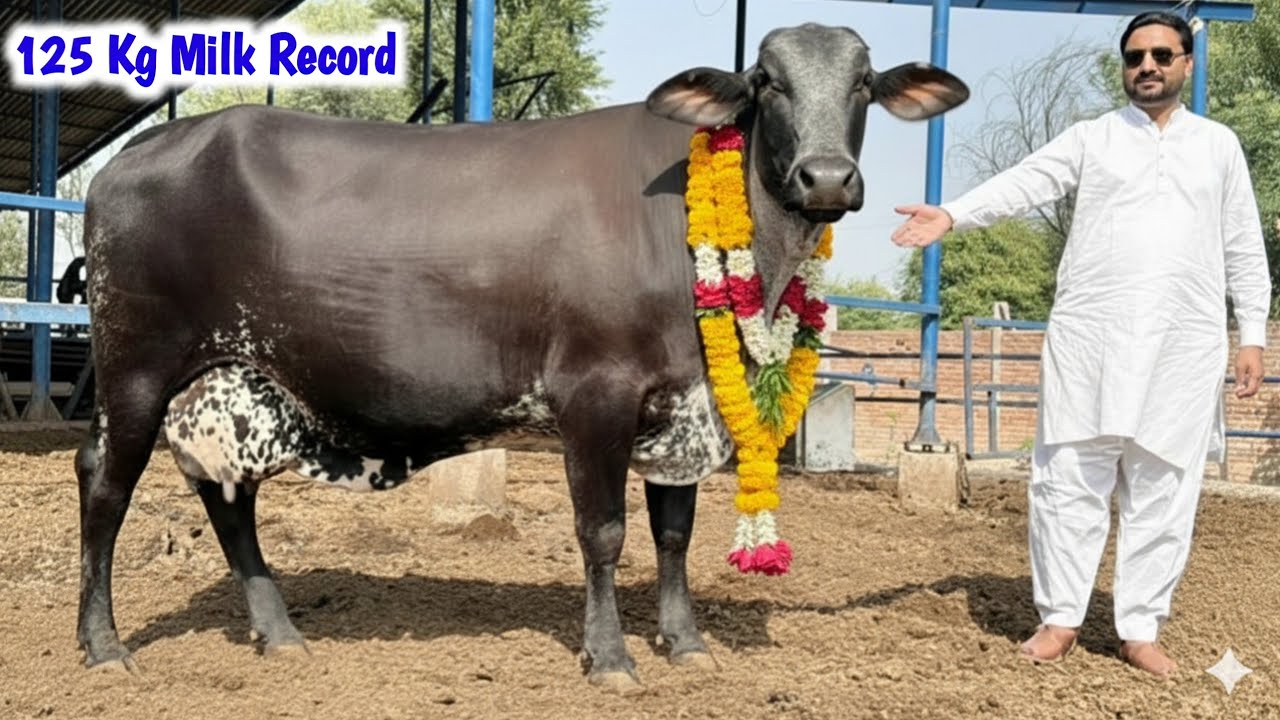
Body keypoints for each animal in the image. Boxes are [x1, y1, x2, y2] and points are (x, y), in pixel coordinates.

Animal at [74, 23, 967, 690]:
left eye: (863, 82)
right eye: (766, 81)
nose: (827, 177)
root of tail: (141, 152)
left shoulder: (685, 405)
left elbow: (673, 534)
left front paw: (686, 644)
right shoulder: (595, 394)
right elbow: (603, 532)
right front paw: (610, 658)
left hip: (234, 383)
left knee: (227, 498)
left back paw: (280, 631)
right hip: (136, 369)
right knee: (105, 485)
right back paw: (104, 646)